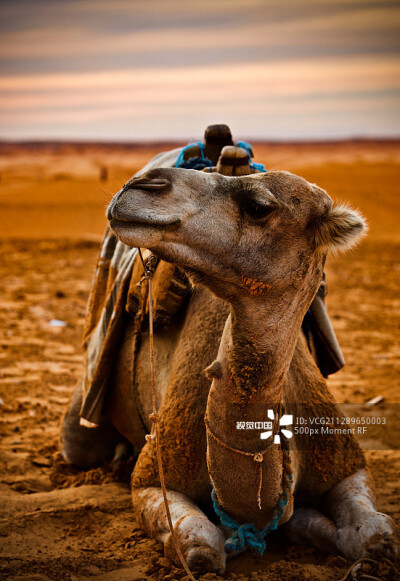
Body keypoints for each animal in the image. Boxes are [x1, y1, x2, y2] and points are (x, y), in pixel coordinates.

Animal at [61, 156, 398, 572]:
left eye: (258, 206)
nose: (140, 185)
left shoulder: (346, 462)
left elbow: (377, 537)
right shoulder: (155, 476)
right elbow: (200, 548)